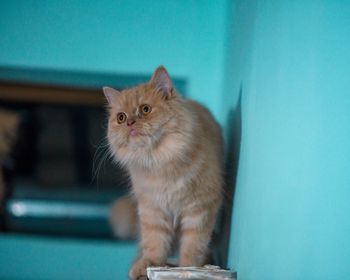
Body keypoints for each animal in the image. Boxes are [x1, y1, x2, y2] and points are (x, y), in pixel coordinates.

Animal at [102, 66, 223, 278]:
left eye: (145, 109)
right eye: (121, 117)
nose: (130, 123)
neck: (158, 161)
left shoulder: (200, 209)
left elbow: (192, 248)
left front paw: (187, 269)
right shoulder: (152, 209)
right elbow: (155, 243)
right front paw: (148, 265)